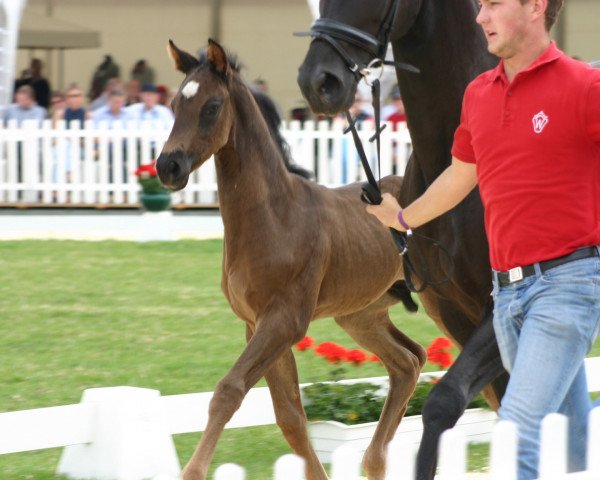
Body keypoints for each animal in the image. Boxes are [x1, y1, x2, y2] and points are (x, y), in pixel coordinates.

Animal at [156, 40, 426, 480]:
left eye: (212, 106)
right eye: (176, 103)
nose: (168, 166)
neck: (274, 217)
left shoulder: (286, 319)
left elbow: (228, 391)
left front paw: (192, 472)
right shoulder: (258, 324)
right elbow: (290, 417)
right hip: (361, 315)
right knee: (408, 362)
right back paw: (374, 462)